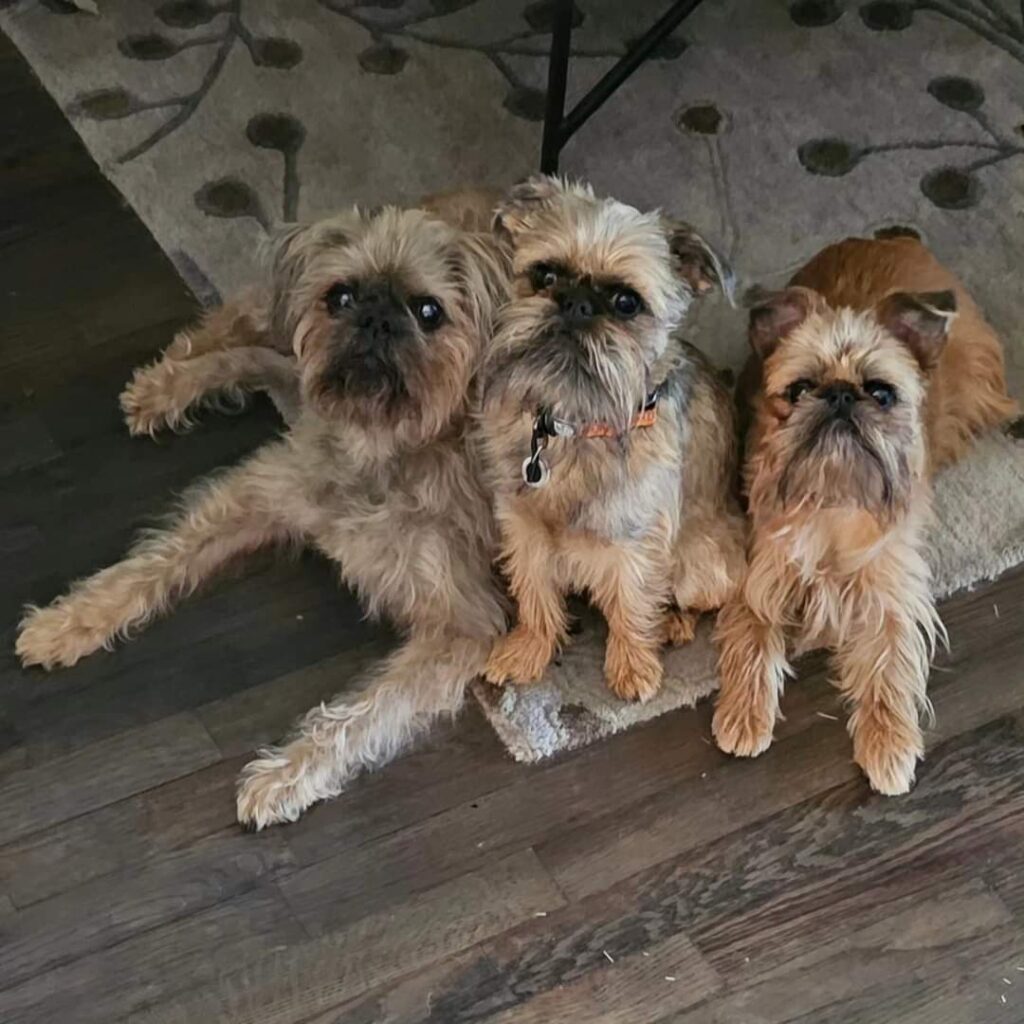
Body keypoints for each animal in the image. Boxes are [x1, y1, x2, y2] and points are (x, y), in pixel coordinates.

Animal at [16, 201, 512, 831]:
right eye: (340, 296)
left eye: (430, 313)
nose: (376, 319)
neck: (377, 448)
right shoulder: (258, 494)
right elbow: (153, 561)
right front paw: (68, 620)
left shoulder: (462, 625)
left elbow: (363, 713)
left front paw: (285, 776)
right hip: (275, 322)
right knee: (245, 324)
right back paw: (165, 385)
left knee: (270, 359)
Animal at [475, 176, 749, 704]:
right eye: (544, 275)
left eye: (626, 303)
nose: (575, 303)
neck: (576, 423)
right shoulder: (523, 526)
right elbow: (535, 593)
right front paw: (530, 649)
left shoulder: (633, 543)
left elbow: (631, 602)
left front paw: (632, 665)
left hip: (700, 566)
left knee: (699, 597)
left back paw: (673, 623)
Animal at [712, 235, 1015, 794]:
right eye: (799, 389)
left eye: (880, 393)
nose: (839, 395)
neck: (834, 495)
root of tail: (893, 236)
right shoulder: (761, 577)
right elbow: (753, 638)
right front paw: (743, 714)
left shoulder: (890, 593)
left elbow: (889, 665)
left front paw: (888, 744)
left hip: (977, 384)